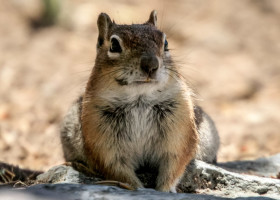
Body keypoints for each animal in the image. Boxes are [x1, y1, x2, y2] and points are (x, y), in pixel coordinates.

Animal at [60, 10, 220, 192]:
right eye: (114, 45)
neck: (139, 100)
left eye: (165, 43)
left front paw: (165, 189)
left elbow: (174, 165)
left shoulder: (179, 134)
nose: (151, 64)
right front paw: (138, 188)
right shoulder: (103, 144)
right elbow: (118, 171)